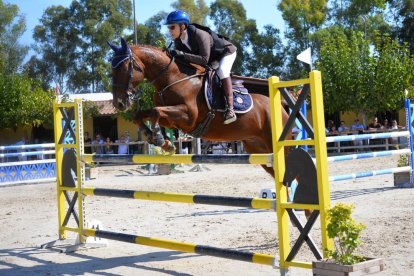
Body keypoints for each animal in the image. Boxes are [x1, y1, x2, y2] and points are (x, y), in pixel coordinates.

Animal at [106, 37, 290, 177]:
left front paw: (159, 138)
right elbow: (143, 114)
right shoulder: (172, 119)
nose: (119, 103)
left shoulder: (189, 117)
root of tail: (282, 108)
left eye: (123, 68)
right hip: (257, 147)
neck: (171, 78)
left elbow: (155, 111)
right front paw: (160, 140)